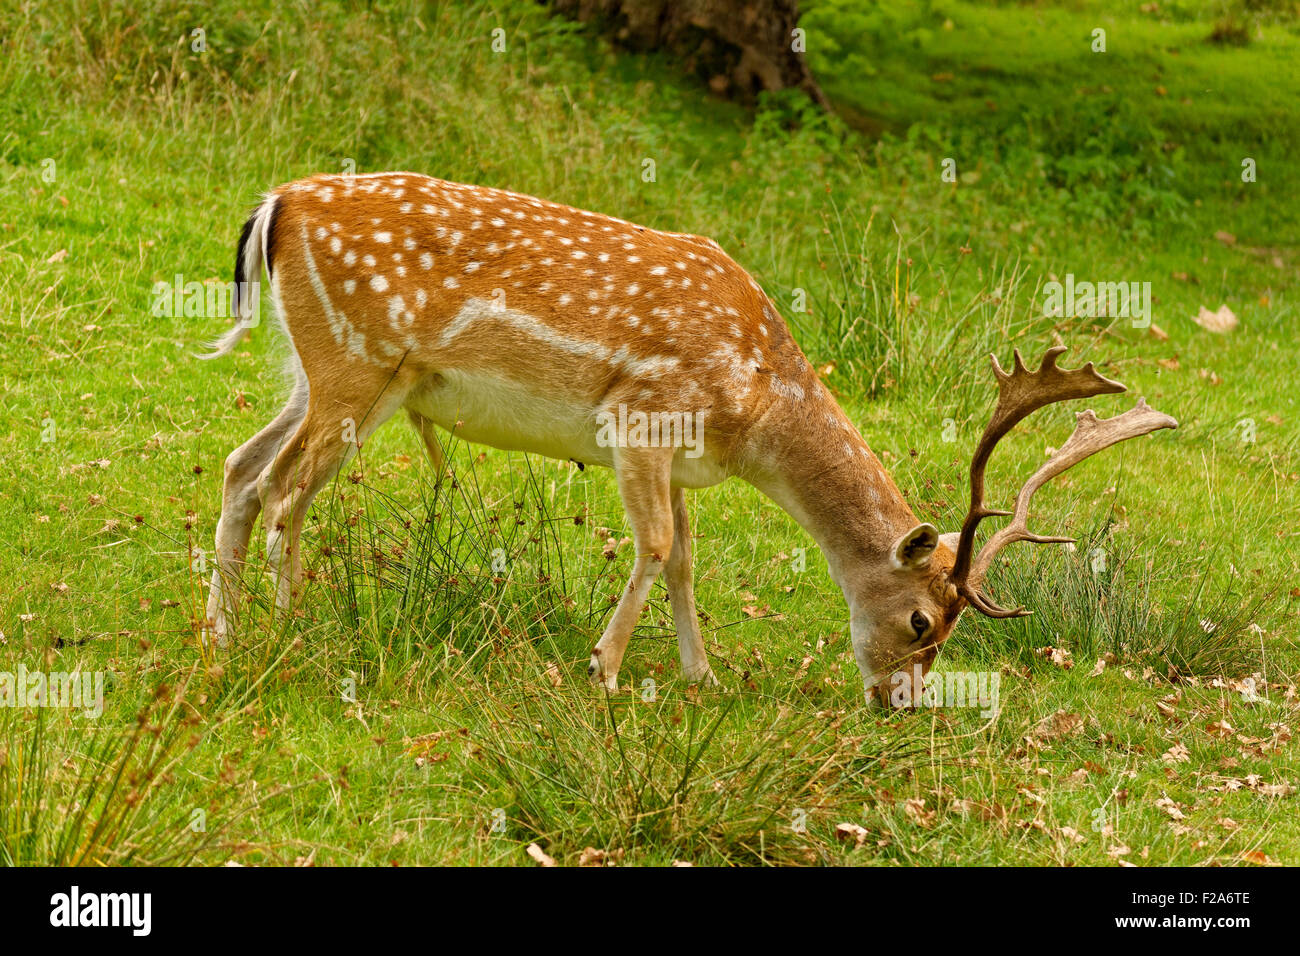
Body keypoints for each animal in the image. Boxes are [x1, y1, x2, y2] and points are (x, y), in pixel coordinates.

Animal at [201, 172, 1177, 705]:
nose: (899, 702)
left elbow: (686, 560)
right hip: (355, 362)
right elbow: (658, 544)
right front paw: (604, 670)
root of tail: (276, 203)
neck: (754, 413)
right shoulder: (641, 417)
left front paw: (699, 675)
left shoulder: (679, 458)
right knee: (285, 489)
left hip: (325, 371)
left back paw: (222, 633)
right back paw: (289, 630)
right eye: (922, 620)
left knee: (243, 469)